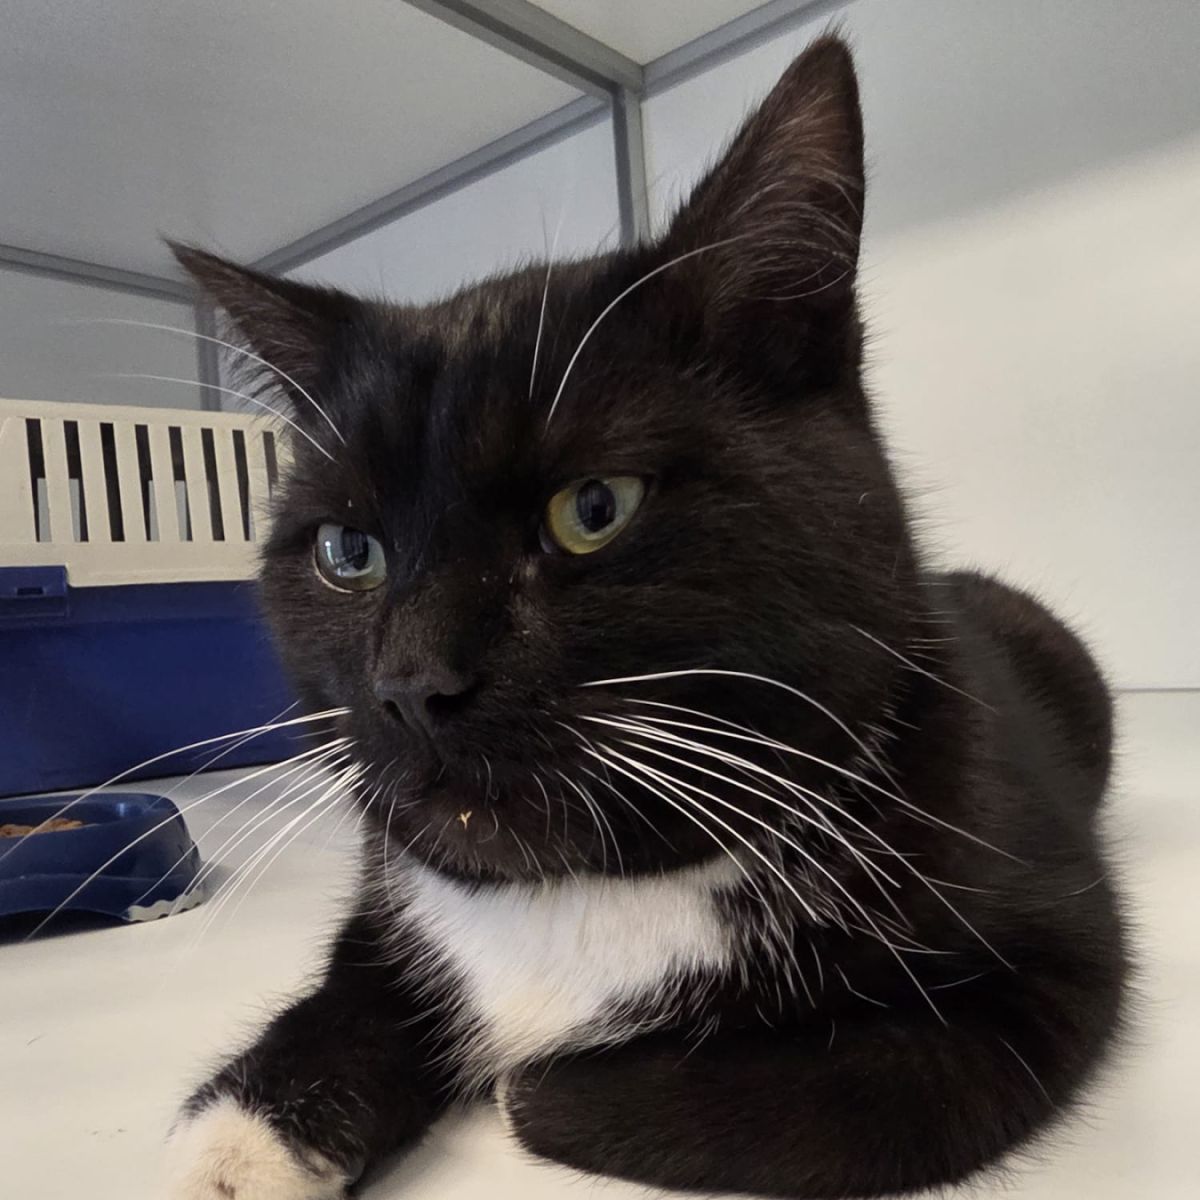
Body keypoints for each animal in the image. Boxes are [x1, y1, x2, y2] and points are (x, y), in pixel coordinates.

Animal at [165, 36, 1127, 1200]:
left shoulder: (1046, 974)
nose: (412, 684)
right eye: (348, 552)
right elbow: (358, 993)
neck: (582, 891)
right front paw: (237, 1140)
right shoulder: (393, 892)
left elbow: (852, 1094)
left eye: (593, 509)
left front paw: (535, 1083)